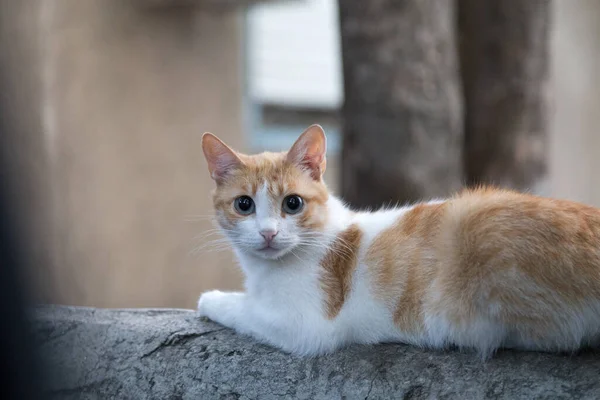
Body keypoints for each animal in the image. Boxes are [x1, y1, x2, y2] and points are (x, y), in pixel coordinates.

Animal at [197, 123, 600, 358]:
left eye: (292, 204)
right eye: (244, 205)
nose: (268, 233)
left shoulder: (306, 326)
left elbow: (246, 309)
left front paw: (211, 298)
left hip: (477, 220)